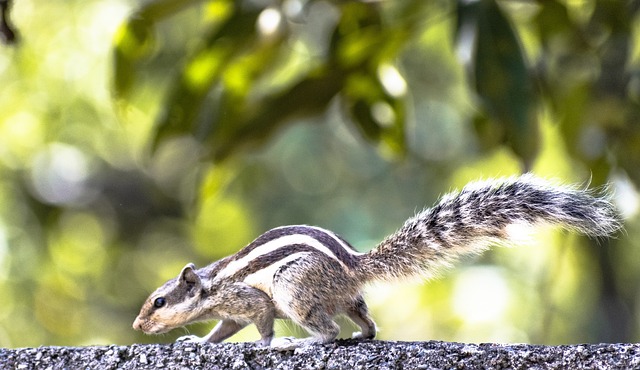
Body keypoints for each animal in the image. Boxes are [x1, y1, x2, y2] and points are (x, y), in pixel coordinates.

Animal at [134, 176, 620, 350]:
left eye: (159, 301)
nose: (138, 325)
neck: (211, 285)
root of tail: (353, 267)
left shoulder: (248, 300)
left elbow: (260, 321)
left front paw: (265, 344)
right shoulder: (230, 311)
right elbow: (220, 330)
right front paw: (198, 341)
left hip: (295, 289)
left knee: (328, 331)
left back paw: (301, 344)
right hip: (349, 298)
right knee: (367, 325)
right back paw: (359, 334)